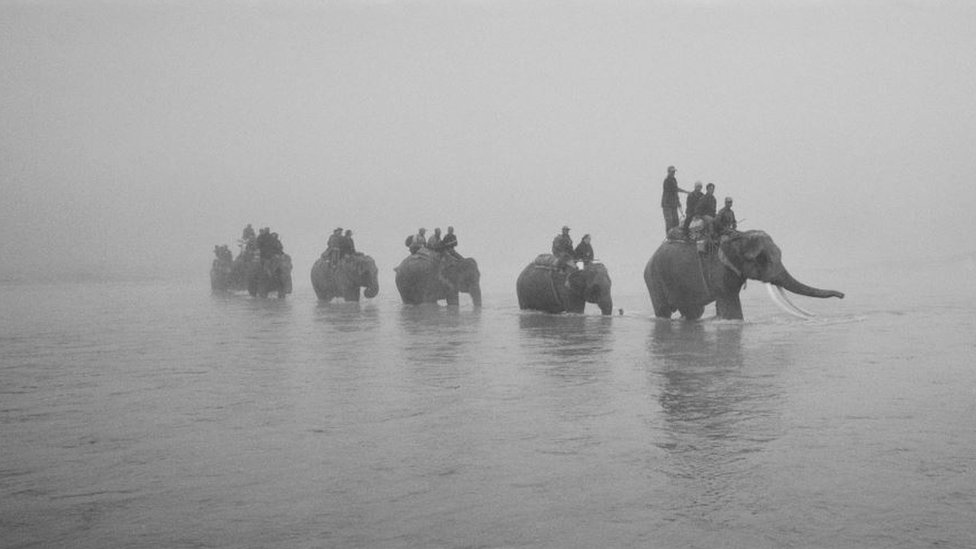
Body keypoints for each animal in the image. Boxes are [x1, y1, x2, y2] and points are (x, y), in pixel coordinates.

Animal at [644, 228, 844, 322]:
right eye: (761, 258)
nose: (842, 295)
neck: (738, 235)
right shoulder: (719, 270)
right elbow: (730, 307)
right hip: (654, 278)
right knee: (664, 310)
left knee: (693, 311)